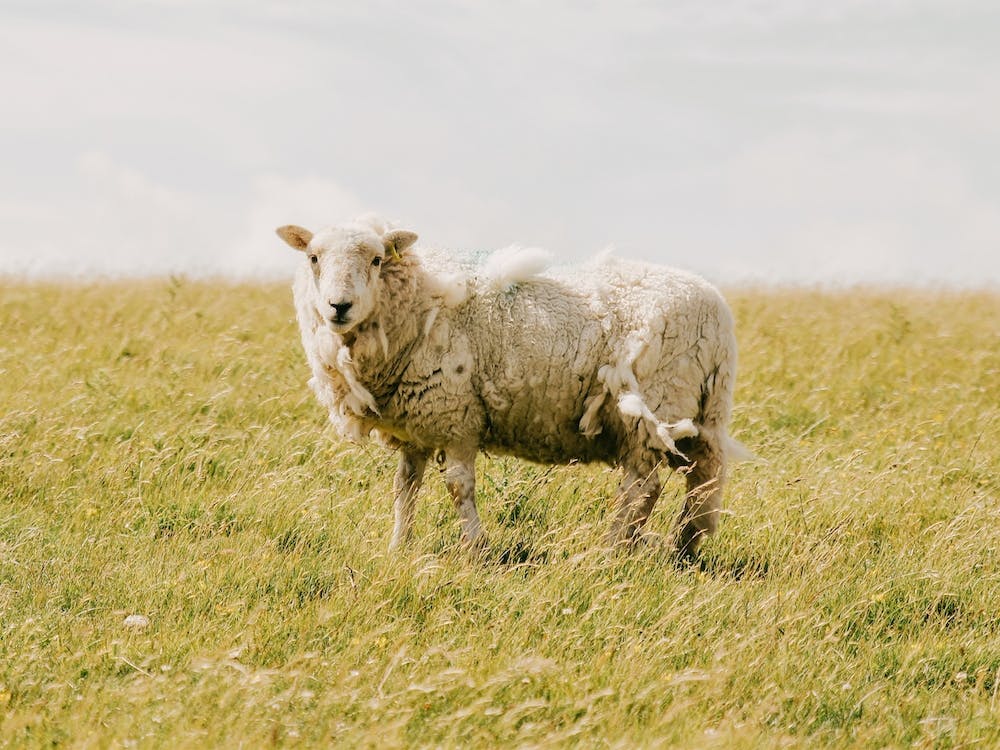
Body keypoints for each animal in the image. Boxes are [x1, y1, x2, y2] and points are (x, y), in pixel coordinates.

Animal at [276, 215, 747, 558]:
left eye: (376, 260)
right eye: (313, 257)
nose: (339, 306)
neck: (418, 301)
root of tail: (719, 316)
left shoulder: (455, 415)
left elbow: (458, 487)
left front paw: (476, 549)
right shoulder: (416, 424)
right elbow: (404, 487)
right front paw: (397, 548)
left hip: (652, 409)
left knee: (642, 489)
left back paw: (612, 552)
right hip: (697, 414)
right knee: (701, 485)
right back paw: (682, 549)